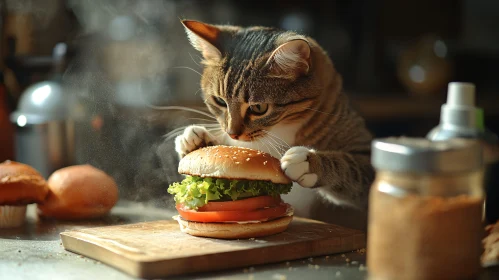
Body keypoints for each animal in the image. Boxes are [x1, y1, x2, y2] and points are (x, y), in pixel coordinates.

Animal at [174, 20, 374, 209]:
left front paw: (310, 162)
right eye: (219, 101)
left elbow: (350, 167)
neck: (279, 129)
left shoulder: (365, 157)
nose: (232, 133)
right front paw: (195, 141)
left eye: (258, 108)